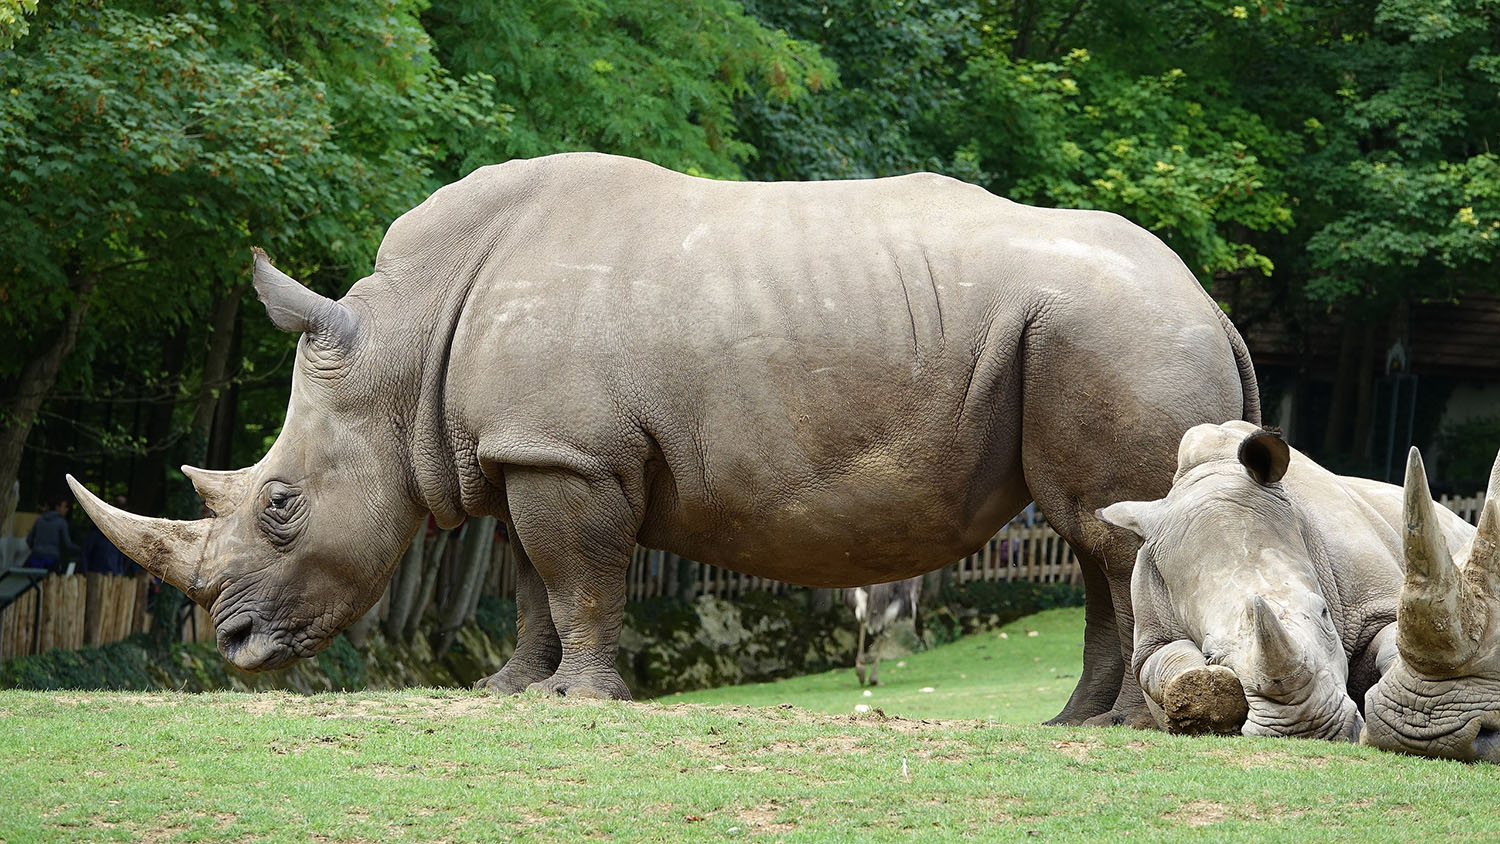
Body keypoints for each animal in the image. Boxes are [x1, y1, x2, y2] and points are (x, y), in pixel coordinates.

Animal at [68, 152, 1257, 724]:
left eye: (281, 507)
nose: (233, 649)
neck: (402, 345)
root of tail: (1210, 302)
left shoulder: (571, 454)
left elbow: (580, 576)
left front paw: (581, 701)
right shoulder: (528, 449)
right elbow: (528, 582)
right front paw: (513, 695)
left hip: (1111, 334)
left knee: (1101, 531)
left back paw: (1119, 727)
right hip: (1110, 331)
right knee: (1098, 540)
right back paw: (1076, 725)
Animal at [1099, 421, 1474, 740]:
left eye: (1324, 613)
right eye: (1210, 655)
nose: (1307, 728)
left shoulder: (1377, 599)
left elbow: (1399, 642)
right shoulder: (1151, 631)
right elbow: (1167, 662)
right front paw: (1205, 690)